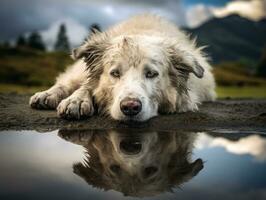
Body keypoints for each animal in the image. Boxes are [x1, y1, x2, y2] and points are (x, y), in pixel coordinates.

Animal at [29, 14, 216, 121]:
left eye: (151, 74)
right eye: (115, 73)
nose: (130, 107)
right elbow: (87, 86)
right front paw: (76, 100)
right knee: (68, 81)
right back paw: (48, 95)